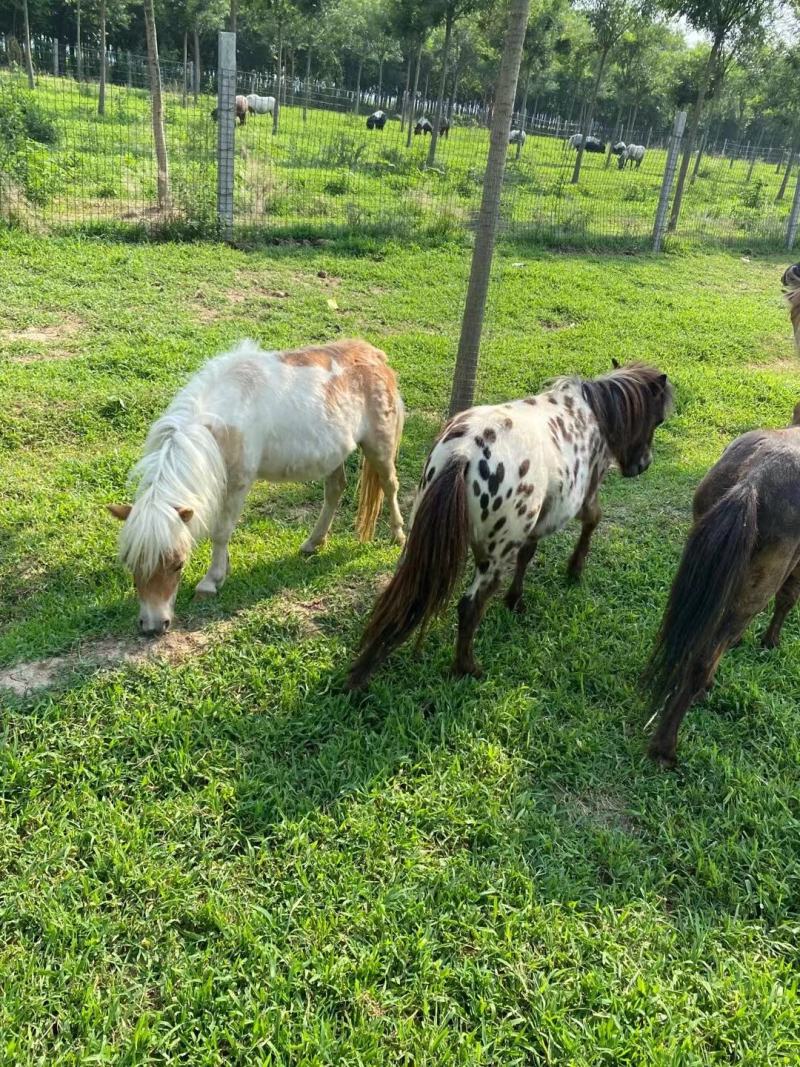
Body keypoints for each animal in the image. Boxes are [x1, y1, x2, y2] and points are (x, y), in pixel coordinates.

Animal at [109, 339, 406, 636]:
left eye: (178, 564)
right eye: (130, 562)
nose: (153, 625)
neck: (225, 416)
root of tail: (375, 355)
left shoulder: (238, 483)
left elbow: (221, 531)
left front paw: (211, 581)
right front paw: (223, 569)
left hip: (379, 447)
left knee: (390, 486)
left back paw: (398, 535)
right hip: (334, 454)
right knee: (335, 490)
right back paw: (313, 543)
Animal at [347, 362, 672, 689]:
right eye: (657, 419)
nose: (642, 465)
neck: (592, 413)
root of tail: (464, 453)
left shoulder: (538, 520)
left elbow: (527, 555)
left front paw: (515, 599)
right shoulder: (585, 495)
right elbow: (592, 521)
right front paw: (574, 570)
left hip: (420, 542)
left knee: (406, 593)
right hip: (493, 556)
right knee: (470, 606)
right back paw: (467, 667)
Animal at [644, 265, 800, 766]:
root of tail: (751, 483)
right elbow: (789, 600)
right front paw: (772, 642)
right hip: (754, 583)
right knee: (710, 648)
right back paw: (666, 747)